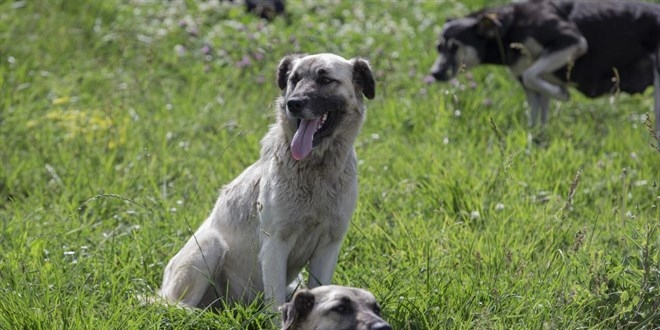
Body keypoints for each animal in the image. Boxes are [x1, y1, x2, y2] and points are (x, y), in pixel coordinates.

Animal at [153, 52, 374, 310]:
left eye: (326, 79)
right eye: (294, 79)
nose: (293, 104)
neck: (315, 170)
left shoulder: (329, 245)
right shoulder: (275, 244)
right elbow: (275, 302)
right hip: (210, 245)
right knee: (181, 306)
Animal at [428, 0, 660, 137]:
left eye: (455, 47)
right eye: (438, 47)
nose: (434, 74)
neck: (510, 26)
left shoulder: (572, 41)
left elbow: (533, 75)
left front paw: (563, 93)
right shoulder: (533, 90)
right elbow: (536, 119)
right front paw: (536, 144)